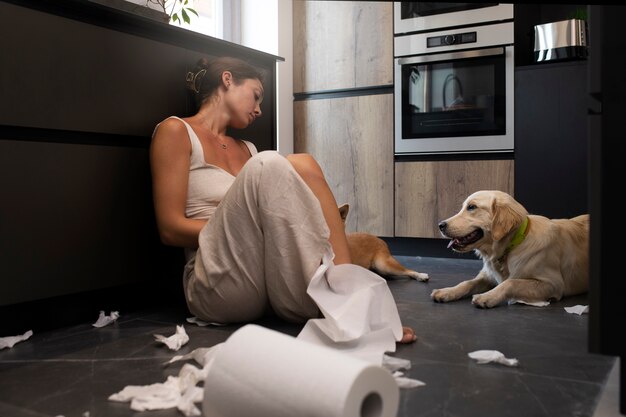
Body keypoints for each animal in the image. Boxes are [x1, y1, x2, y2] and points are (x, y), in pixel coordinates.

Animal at [432, 190, 588, 308]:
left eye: (472, 207)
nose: (440, 225)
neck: (512, 245)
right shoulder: (487, 275)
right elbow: (467, 282)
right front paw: (447, 292)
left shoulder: (553, 284)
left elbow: (510, 282)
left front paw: (487, 297)